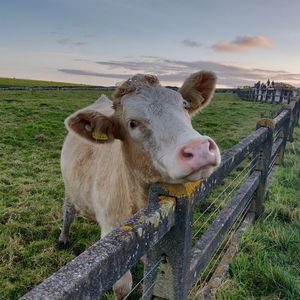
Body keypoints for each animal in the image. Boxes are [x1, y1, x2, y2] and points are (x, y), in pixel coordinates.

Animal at [59, 71, 220, 298]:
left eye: (184, 105)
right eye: (132, 123)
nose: (199, 149)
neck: (139, 203)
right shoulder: (111, 233)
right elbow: (123, 287)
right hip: (68, 186)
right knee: (68, 211)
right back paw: (63, 238)